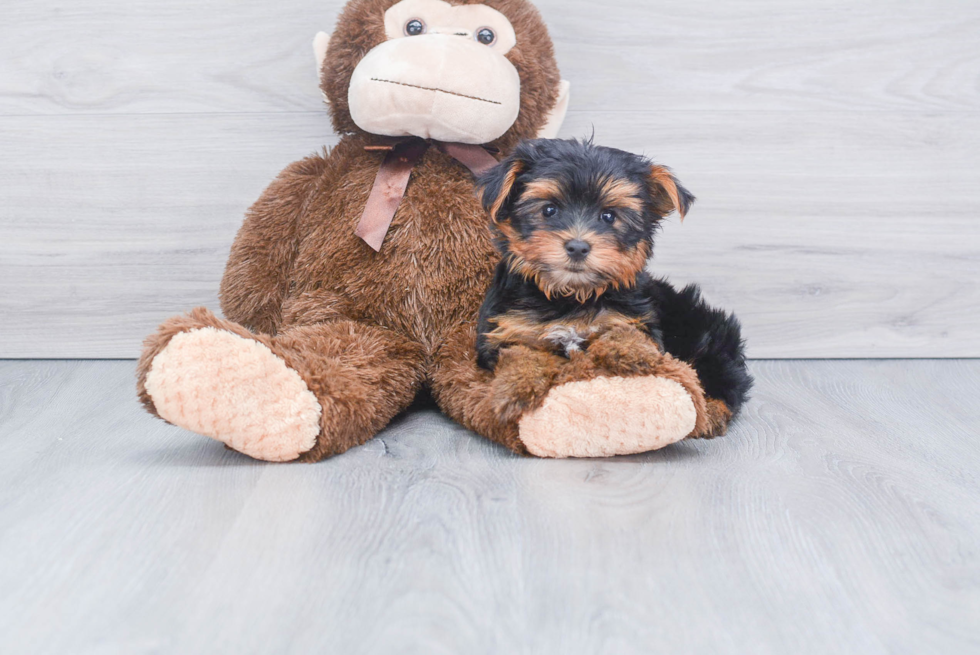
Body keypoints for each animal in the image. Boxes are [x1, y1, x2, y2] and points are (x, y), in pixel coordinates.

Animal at [474, 140, 752, 420]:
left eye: (608, 216)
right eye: (549, 210)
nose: (577, 247)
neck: (572, 295)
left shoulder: (631, 317)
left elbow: (625, 332)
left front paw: (635, 353)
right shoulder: (506, 328)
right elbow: (519, 353)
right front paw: (516, 387)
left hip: (704, 330)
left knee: (725, 380)